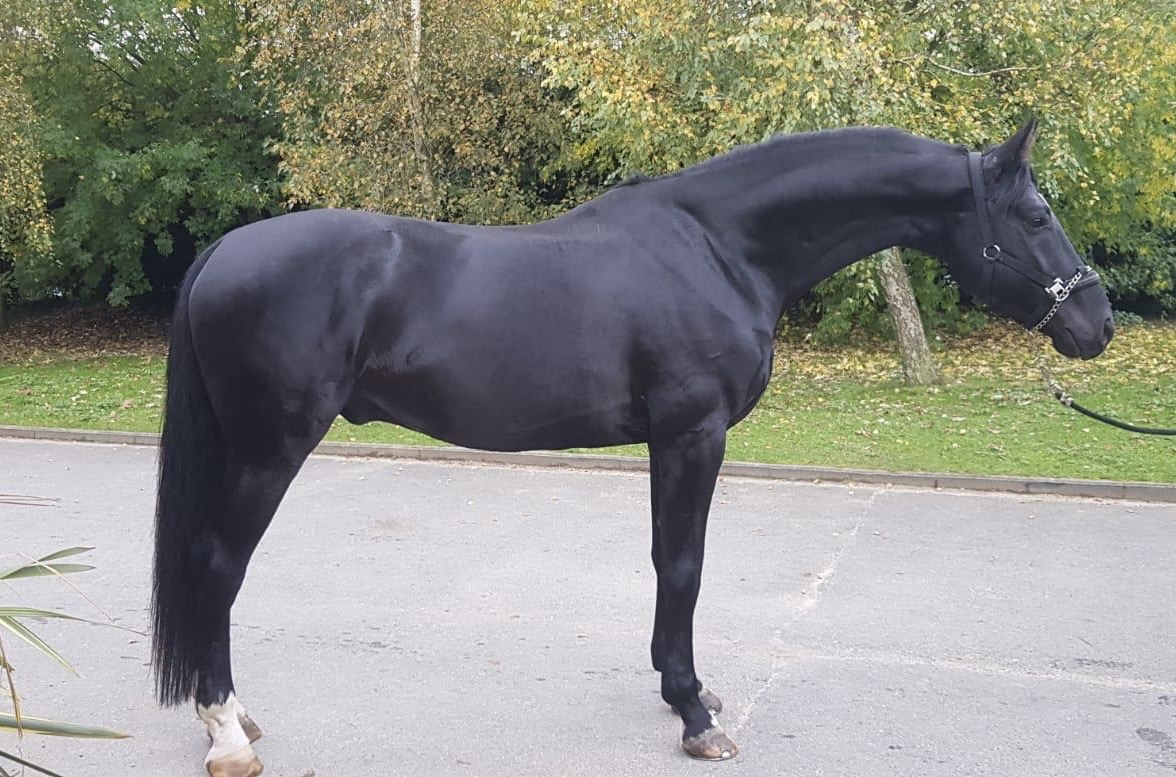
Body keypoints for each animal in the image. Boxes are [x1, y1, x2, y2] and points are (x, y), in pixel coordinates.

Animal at [151, 119, 1114, 776]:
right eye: (1036, 213)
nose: (1098, 322)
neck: (719, 249)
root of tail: (224, 250)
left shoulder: (667, 440)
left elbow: (663, 559)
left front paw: (681, 687)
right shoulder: (694, 432)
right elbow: (685, 563)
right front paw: (695, 715)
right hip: (271, 449)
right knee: (218, 564)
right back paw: (227, 731)